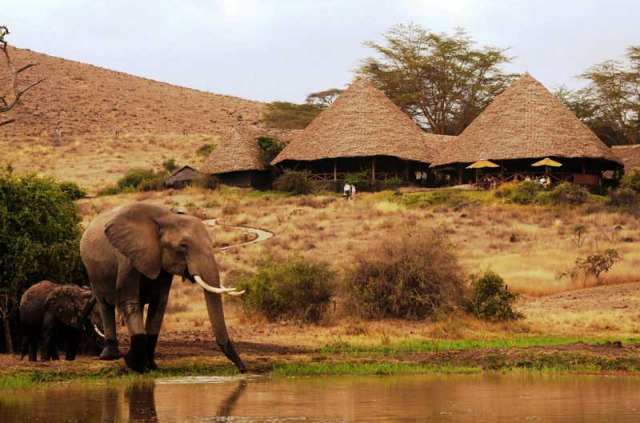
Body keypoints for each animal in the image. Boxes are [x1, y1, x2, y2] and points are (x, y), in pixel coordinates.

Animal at [81, 204, 246, 372]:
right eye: (183, 245)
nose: (243, 369)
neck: (166, 218)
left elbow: (159, 305)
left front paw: (152, 366)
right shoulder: (127, 257)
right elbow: (129, 302)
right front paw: (137, 366)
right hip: (92, 271)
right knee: (104, 305)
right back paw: (110, 356)